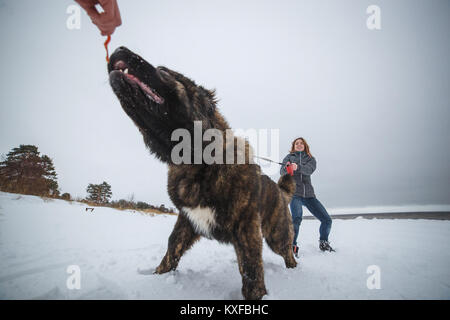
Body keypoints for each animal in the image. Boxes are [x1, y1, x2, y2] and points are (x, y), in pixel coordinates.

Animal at [108, 46, 298, 298]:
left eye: (162, 70)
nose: (118, 48)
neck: (198, 162)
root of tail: (280, 190)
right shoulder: (187, 219)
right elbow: (172, 248)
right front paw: (158, 277)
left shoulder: (246, 227)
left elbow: (251, 270)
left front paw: (256, 295)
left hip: (277, 235)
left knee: (288, 252)